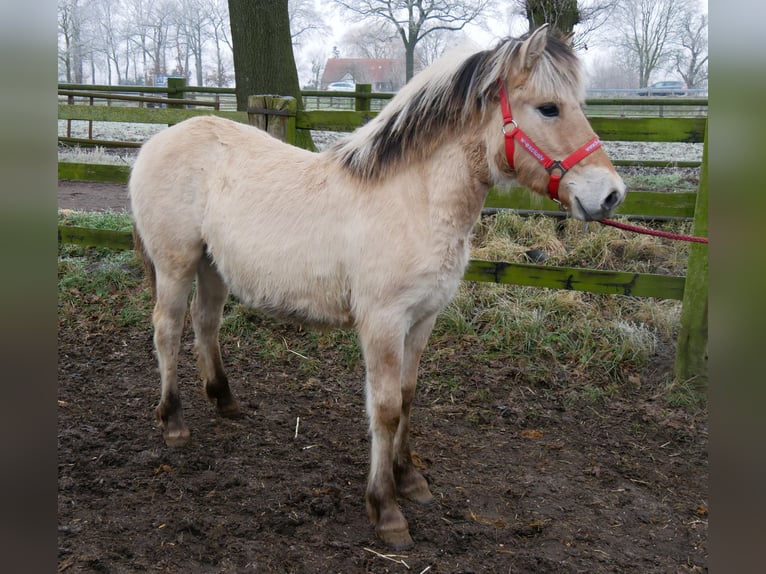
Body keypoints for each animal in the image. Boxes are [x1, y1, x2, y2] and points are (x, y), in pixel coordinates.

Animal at [130, 24, 624, 552]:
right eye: (549, 108)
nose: (611, 194)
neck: (414, 199)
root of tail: (155, 143)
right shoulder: (383, 323)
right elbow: (384, 409)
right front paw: (385, 509)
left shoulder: (423, 319)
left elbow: (407, 397)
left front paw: (410, 480)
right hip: (176, 265)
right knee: (167, 330)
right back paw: (173, 422)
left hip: (212, 267)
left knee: (205, 324)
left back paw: (224, 401)